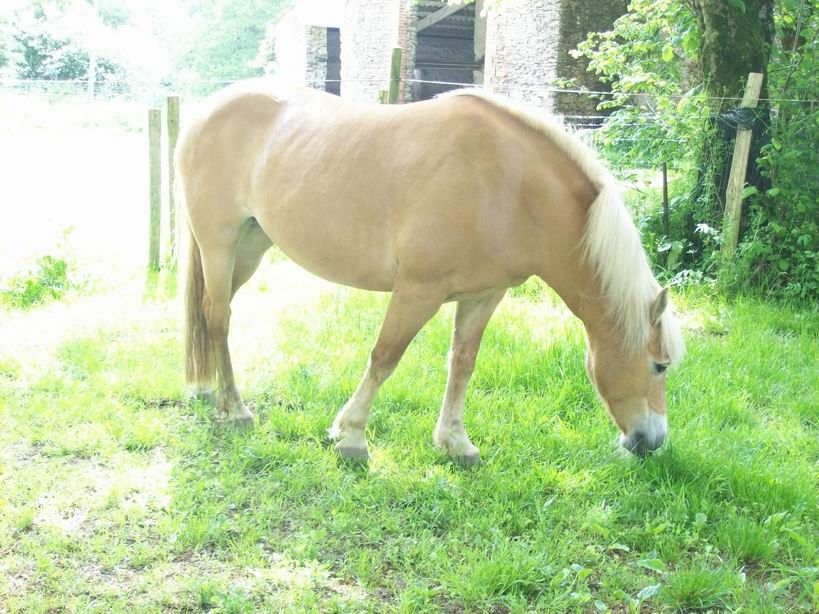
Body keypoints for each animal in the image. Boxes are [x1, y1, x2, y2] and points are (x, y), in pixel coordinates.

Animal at [178, 80, 685, 466]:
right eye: (659, 365)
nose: (654, 441)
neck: (510, 185)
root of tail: (204, 110)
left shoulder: (484, 295)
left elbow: (462, 364)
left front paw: (455, 443)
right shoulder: (417, 291)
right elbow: (385, 357)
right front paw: (352, 436)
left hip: (250, 248)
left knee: (214, 316)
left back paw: (212, 394)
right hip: (219, 244)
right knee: (218, 317)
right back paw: (236, 409)